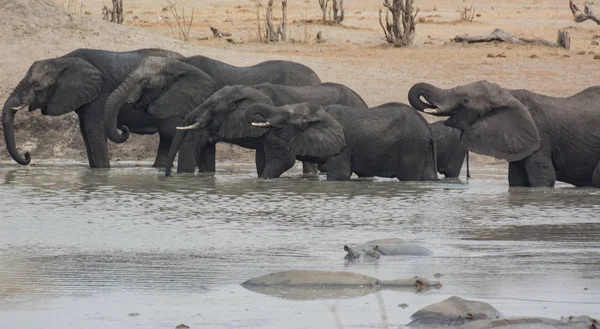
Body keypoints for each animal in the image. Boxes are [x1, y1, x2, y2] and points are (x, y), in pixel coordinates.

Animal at [1, 46, 183, 167]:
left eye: (37, 85)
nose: (27, 155)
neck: (61, 60)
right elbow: (85, 131)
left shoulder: (100, 93)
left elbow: (94, 129)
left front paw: (103, 172)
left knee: (167, 136)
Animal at [246, 101, 438, 181]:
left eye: (287, 116)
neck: (321, 111)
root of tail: (428, 128)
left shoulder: (343, 146)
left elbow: (341, 174)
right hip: (422, 147)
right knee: (428, 176)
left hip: (411, 146)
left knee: (408, 176)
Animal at [410, 80, 600, 187]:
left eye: (465, 100)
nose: (428, 106)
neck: (508, 94)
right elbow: (516, 180)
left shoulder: (540, 137)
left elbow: (544, 177)